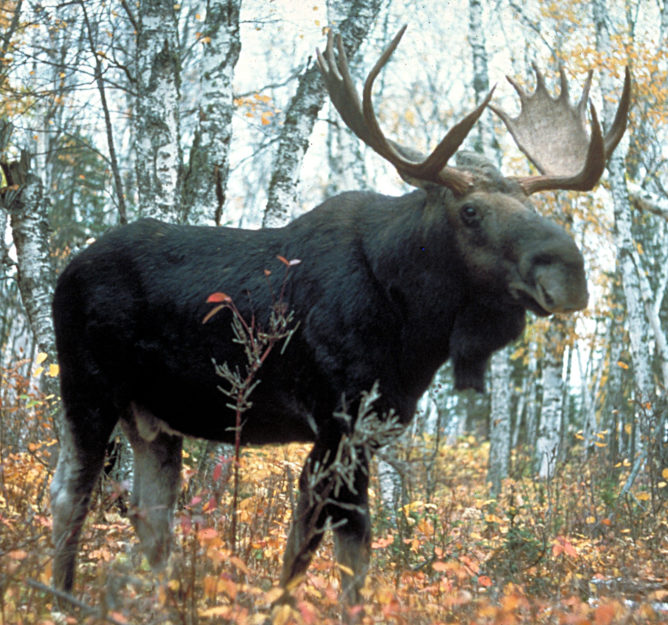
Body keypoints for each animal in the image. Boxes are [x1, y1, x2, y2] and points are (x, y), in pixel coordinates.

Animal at [50, 26, 630, 610]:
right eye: (471, 212)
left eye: (533, 209)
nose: (570, 270)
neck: (415, 327)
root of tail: (66, 270)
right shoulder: (338, 421)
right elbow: (329, 551)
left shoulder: (368, 429)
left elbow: (326, 551)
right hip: (87, 389)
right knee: (71, 494)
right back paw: (61, 598)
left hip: (153, 420)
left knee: (151, 517)